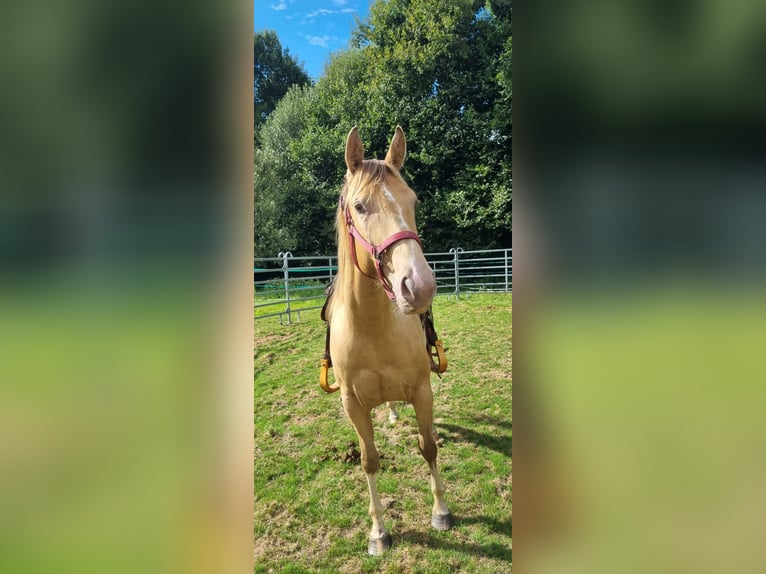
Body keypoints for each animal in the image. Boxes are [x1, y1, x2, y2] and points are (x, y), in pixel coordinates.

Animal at [323, 126, 453, 555]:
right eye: (360, 207)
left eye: (413, 200)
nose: (420, 286)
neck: (372, 327)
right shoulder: (352, 404)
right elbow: (369, 461)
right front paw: (378, 532)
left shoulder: (422, 390)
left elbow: (428, 446)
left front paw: (441, 511)